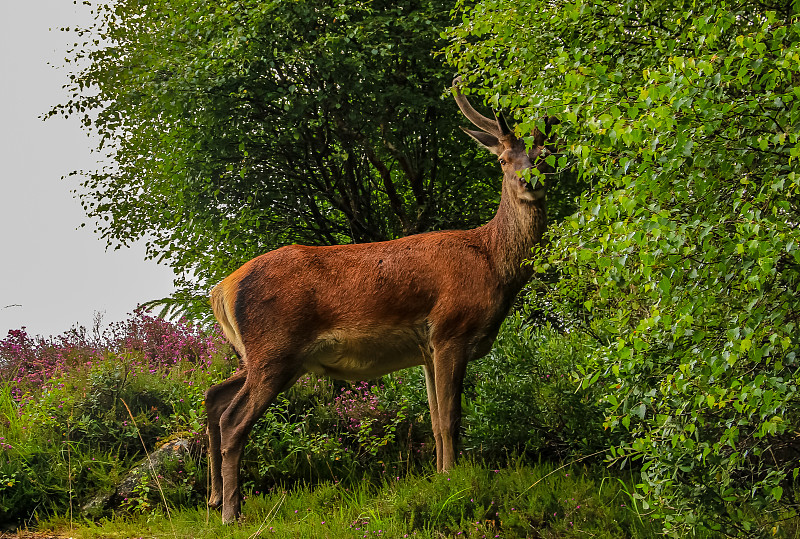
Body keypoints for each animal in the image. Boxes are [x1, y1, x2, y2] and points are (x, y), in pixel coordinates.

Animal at [203, 78, 560, 524]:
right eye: (501, 160)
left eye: (544, 157)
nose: (531, 182)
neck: (492, 263)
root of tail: (222, 289)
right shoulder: (450, 329)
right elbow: (450, 417)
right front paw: (453, 480)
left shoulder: (426, 348)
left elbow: (433, 417)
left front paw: (440, 475)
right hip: (275, 348)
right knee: (234, 419)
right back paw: (232, 511)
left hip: (260, 355)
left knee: (214, 396)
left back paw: (214, 499)